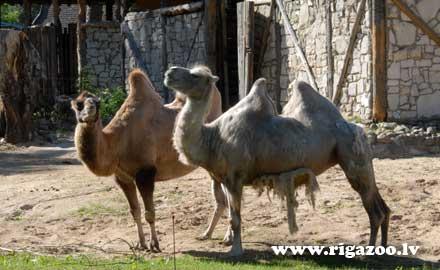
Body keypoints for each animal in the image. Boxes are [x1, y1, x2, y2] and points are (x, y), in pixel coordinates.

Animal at [73, 68, 223, 252]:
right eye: (79, 104)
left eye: (97, 103)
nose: (88, 114)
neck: (118, 141)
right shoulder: (123, 178)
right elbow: (135, 211)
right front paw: (141, 244)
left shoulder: (145, 173)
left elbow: (149, 213)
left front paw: (154, 245)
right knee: (221, 200)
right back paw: (207, 234)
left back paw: (227, 238)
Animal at [164, 65, 388, 255]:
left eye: (195, 75)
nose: (170, 72)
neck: (212, 138)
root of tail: (359, 129)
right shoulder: (226, 179)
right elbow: (230, 215)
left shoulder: (235, 178)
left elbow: (236, 219)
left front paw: (236, 252)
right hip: (363, 161)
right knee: (382, 206)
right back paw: (383, 249)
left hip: (352, 156)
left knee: (373, 210)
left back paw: (370, 252)